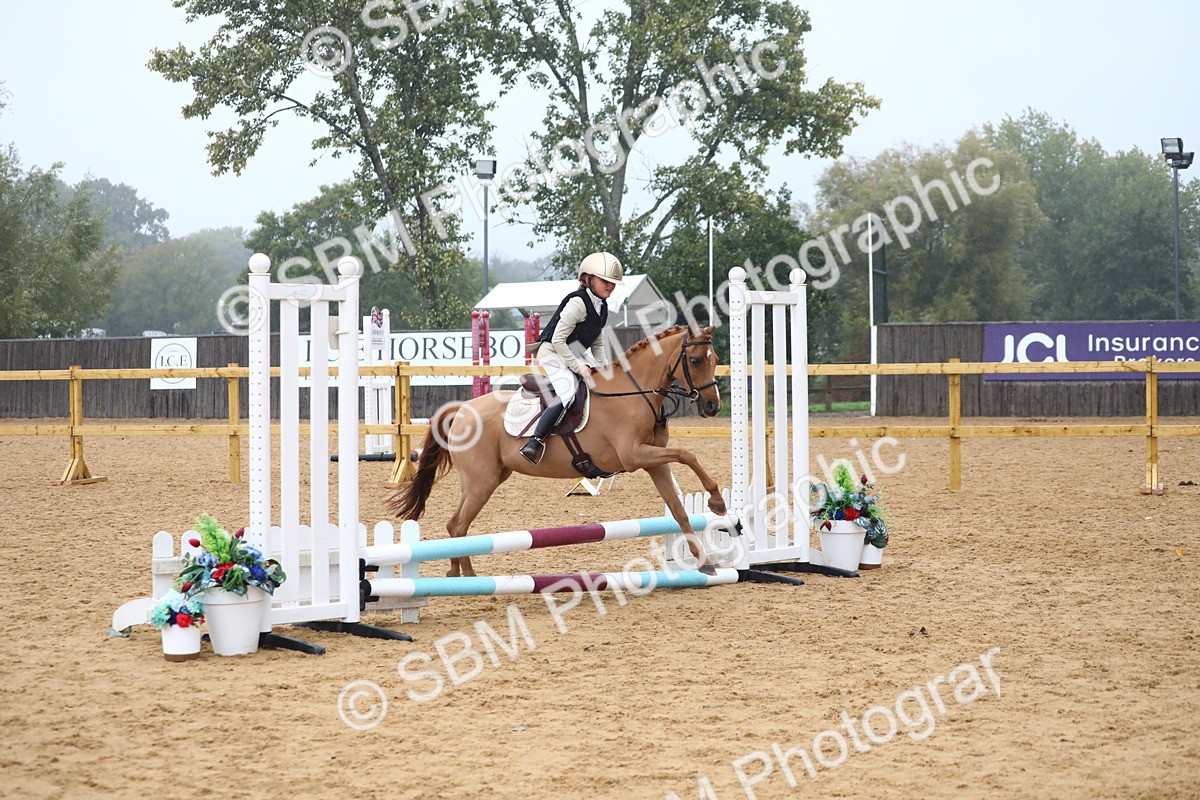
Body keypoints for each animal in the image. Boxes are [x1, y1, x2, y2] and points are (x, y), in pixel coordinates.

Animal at [386, 324, 728, 577]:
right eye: (696, 360)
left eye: (714, 358)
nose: (713, 406)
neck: (635, 393)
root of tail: (463, 409)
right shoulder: (634, 457)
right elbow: (688, 455)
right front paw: (717, 501)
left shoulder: (653, 460)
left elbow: (679, 507)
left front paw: (704, 561)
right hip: (481, 482)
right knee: (457, 524)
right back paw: (468, 580)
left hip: (485, 480)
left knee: (457, 524)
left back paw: (457, 573)